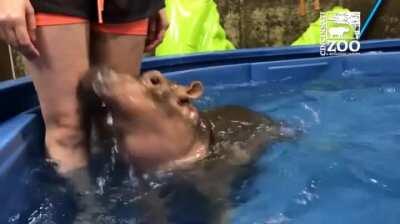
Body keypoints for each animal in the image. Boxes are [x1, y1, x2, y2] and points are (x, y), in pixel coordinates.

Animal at [79, 67, 290, 223]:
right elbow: (153, 210)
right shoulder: (144, 184)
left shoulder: (216, 183)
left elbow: (220, 208)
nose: (101, 68)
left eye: (154, 79)